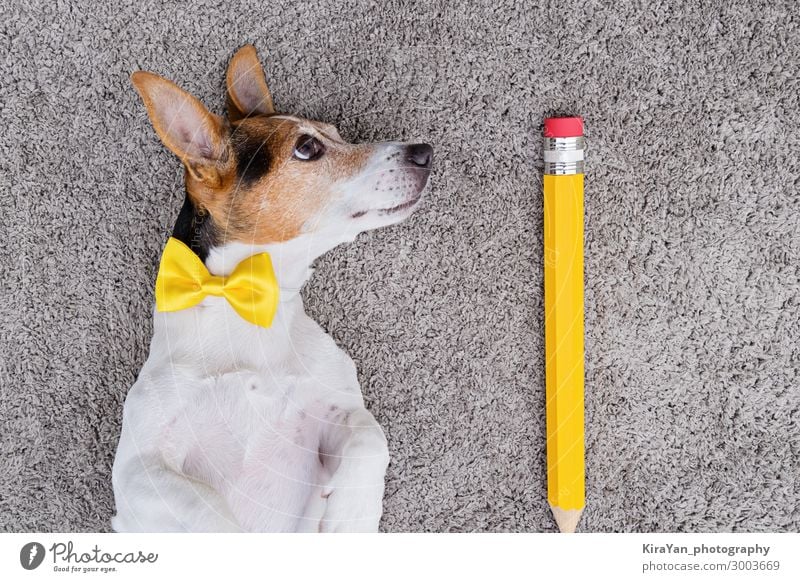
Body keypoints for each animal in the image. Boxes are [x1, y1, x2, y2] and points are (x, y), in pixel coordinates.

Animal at [111, 46, 432, 532]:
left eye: (338, 134)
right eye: (307, 147)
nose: (424, 151)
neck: (246, 306)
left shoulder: (335, 414)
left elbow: (370, 436)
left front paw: (350, 516)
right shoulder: (138, 474)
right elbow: (214, 518)